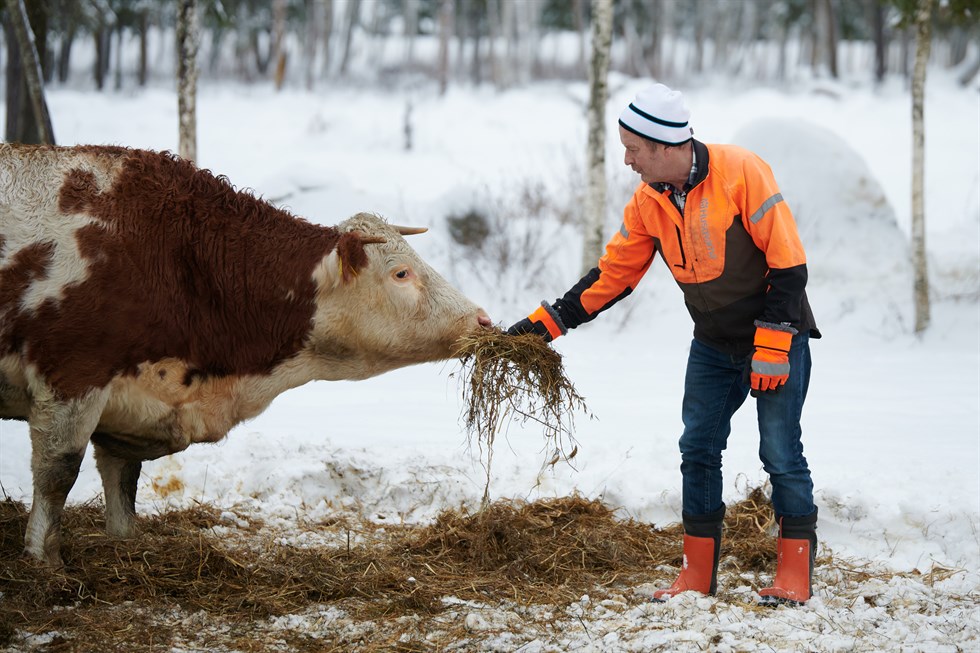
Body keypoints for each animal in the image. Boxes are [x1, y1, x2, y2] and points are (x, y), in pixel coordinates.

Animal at [0, 144, 490, 564]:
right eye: (401, 273)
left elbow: (123, 479)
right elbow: (58, 473)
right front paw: (45, 560)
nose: (483, 320)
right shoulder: (74, 375)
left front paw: (125, 544)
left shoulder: (130, 400)